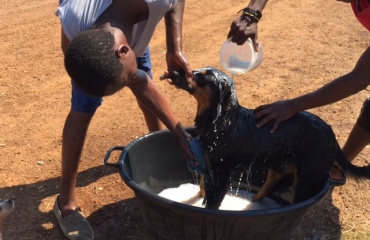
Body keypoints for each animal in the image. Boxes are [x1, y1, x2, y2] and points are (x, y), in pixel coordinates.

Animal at [169, 66, 370, 209]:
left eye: (201, 77)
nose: (173, 71)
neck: (222, 121)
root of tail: (332, 136)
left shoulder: (222, 175)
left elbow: (212, 205)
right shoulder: (208, 166)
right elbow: (203, 187)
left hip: (305, 180)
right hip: (277, 162)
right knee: (269, 184)